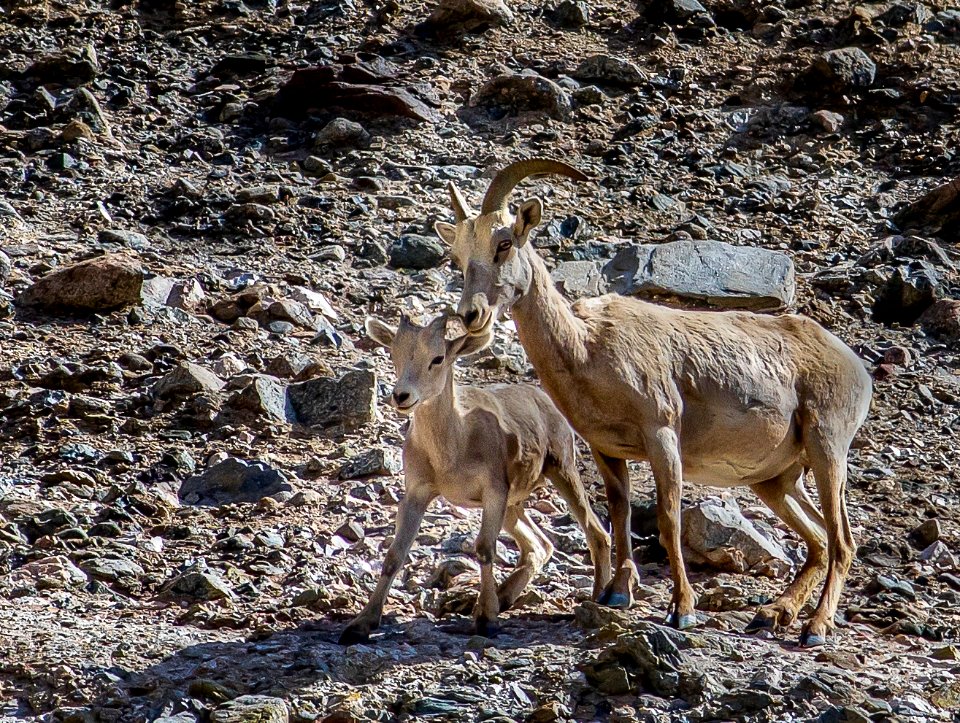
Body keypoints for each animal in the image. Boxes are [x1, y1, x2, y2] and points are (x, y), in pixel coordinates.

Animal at [340, 312, 608, 644]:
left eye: (438, 358)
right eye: (395, 354)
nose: (402, 396)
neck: (454, 446)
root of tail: (543, 399)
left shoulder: (493, 492)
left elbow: (484, 550)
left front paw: (486, 620)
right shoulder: (417, 494)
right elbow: (394, 555)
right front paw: (360, 625)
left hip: (561, 471)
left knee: (596, 532)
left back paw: (602, 599)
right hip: (513, 506)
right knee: (540, 545)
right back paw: (504, 596)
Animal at [438, 161, 872, 648]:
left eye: (504, 242)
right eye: (458, 255)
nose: (471, 315)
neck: (586, 347)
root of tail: (857, 368)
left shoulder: (661, 432)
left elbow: (668, 519)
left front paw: (682, 610)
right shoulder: (608, 450)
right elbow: (620, 512)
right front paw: (616, 593)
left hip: (826, 447)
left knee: (841, 540)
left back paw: (815, 627)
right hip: (776, 479)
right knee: (818, 539)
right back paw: (773, 613)